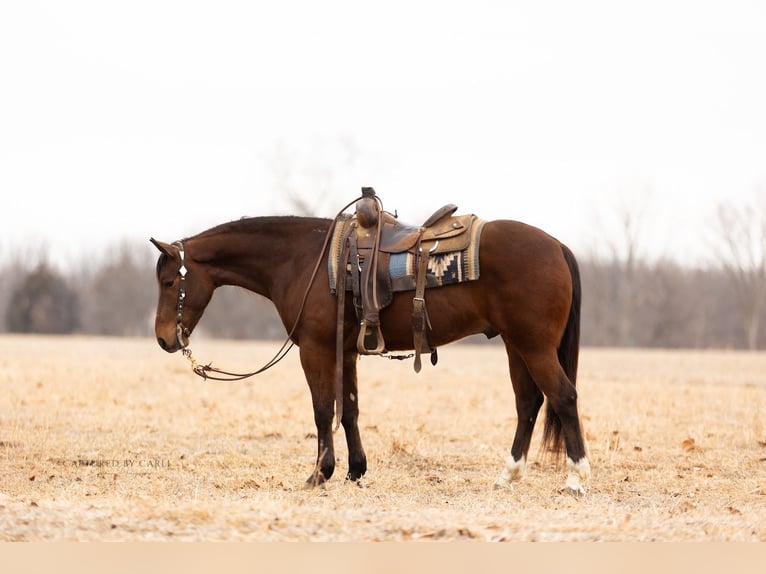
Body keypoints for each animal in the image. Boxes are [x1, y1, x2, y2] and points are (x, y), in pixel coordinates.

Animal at [150, 196, 591, 494]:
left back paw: (577, 477)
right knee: (528, 404)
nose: (164, 338)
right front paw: (355, 470)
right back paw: (508, 475)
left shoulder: (315, 350)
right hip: (517, 346)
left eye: (169, 282)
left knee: (563, 396)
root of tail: (557, 245)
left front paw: (319, 474)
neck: (301, 259)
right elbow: (349, 411)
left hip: (533, 346)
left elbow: (322, 411)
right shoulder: (345, 352)